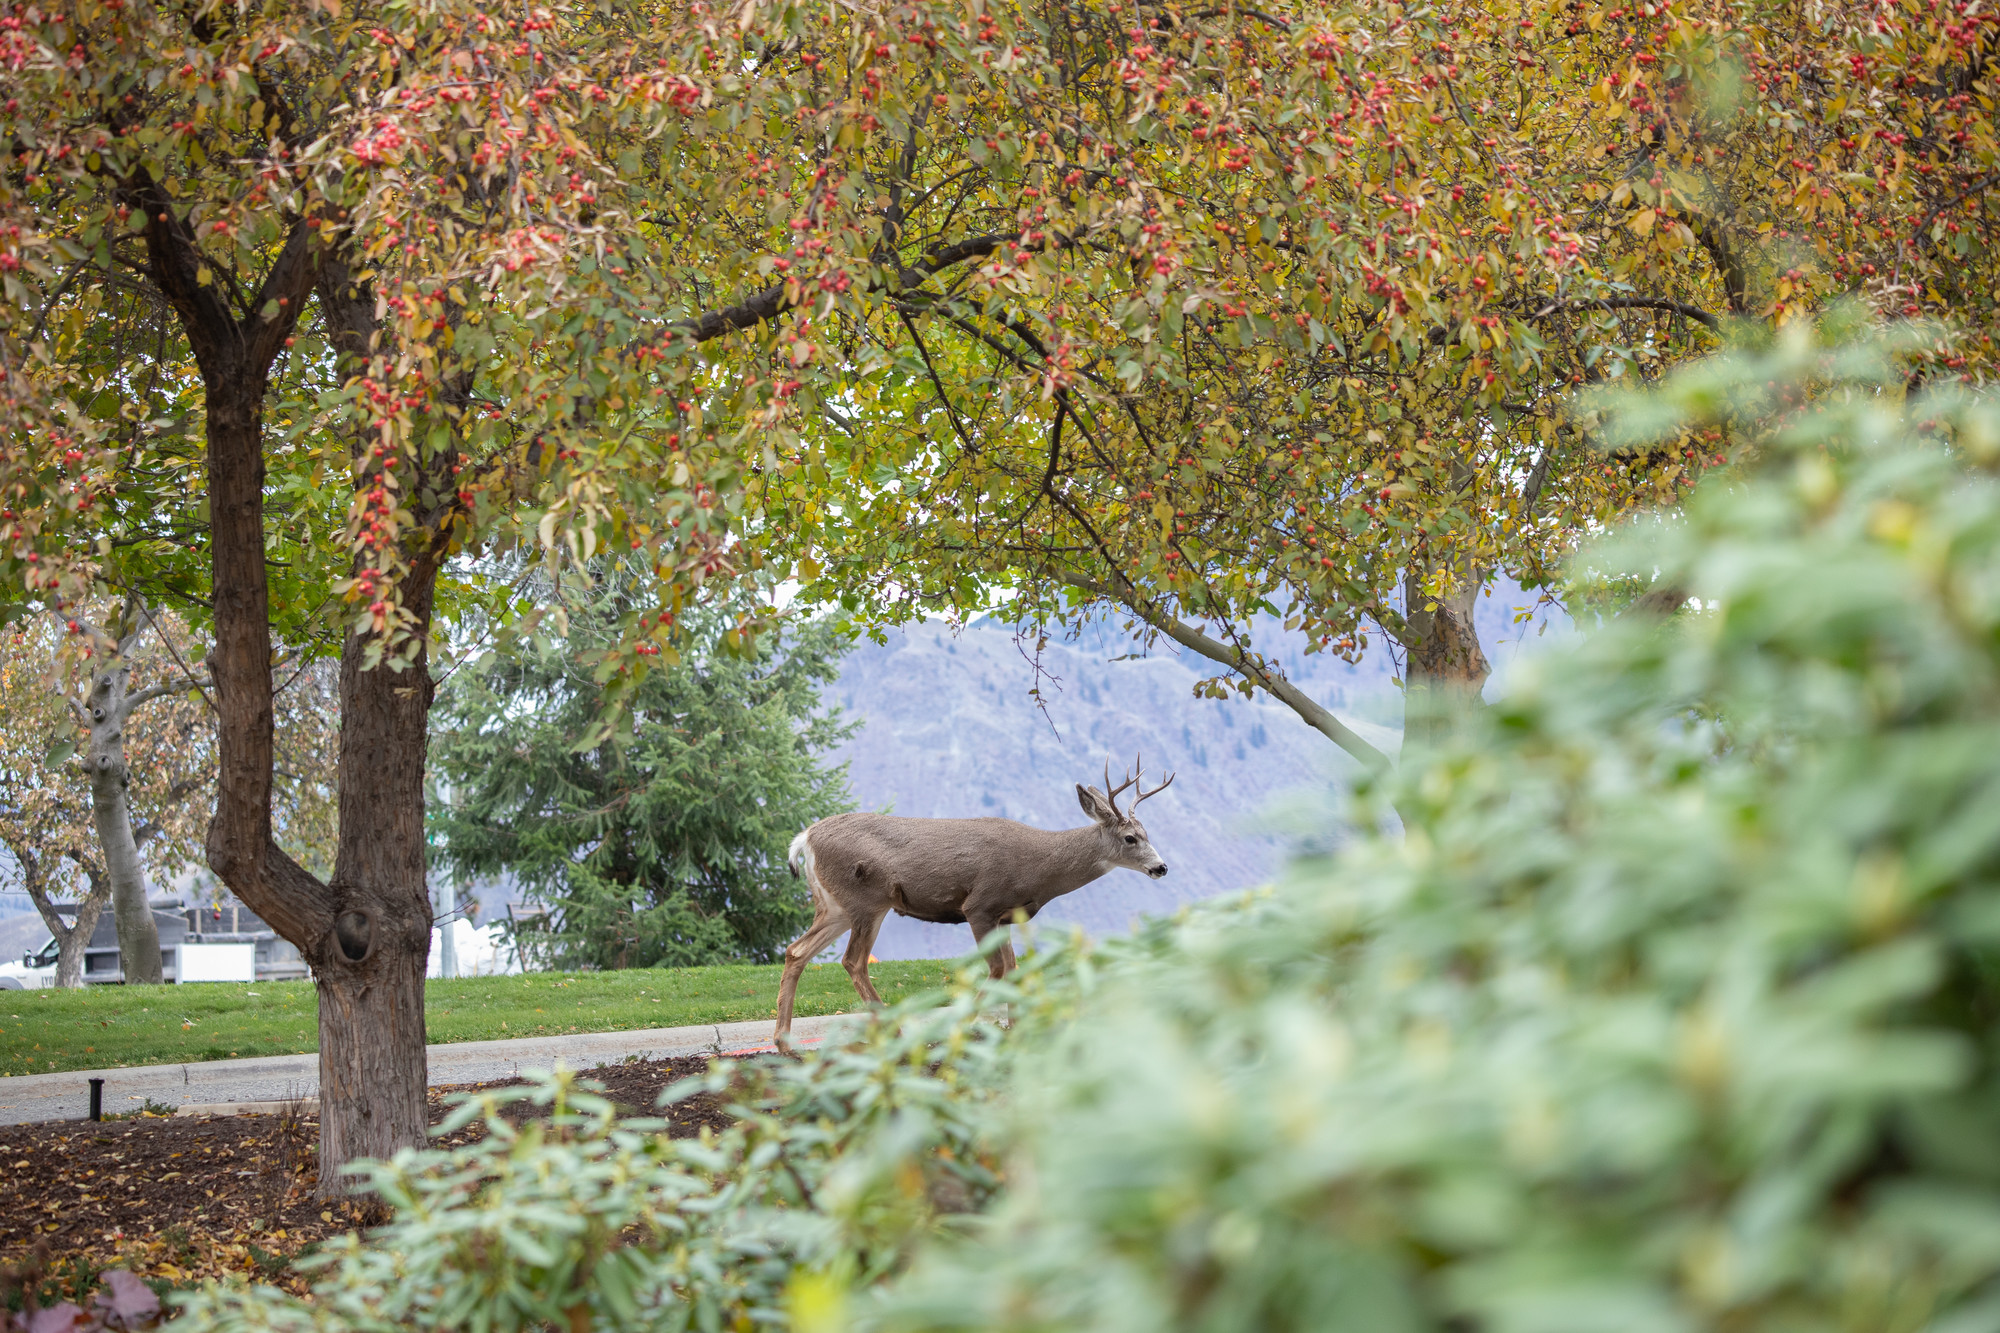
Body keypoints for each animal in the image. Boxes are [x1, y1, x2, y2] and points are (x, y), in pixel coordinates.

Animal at [772, 757, 1175, 1051]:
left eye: (1147, 833)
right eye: (1130, 838)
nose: (1161, 867)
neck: (1039, 868)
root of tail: (804, 838)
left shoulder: (1006, 915)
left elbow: (1012, 968)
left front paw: (1015, 1030)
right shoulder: (979, 905)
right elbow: (996, 969)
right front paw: (962, 1029)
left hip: (835, 906)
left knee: (796, 951)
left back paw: (785, 1042)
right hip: (868, 901)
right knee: (852, 960)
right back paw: (895, 1033)